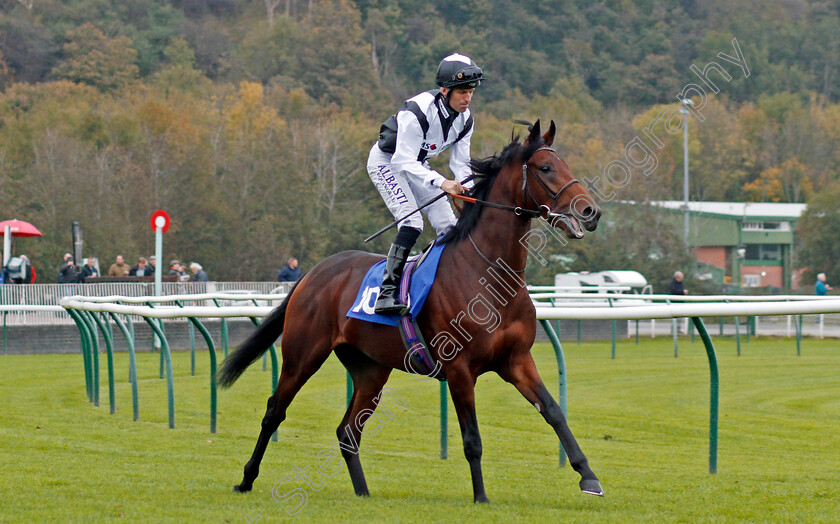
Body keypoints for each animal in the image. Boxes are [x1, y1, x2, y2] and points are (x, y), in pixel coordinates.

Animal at [218, 119, 604, 504]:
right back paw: (246, 479)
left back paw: (363, 492)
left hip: (370, 369)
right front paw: (481, 497)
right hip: (303, 355)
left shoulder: (517, 360)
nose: (591, 211)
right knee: (275, 411)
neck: (488, 273)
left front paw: (589, 477)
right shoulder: (460, 369)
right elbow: (472, 440)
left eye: (565, 163)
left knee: (348, 430)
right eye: (545, 167)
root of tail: (313, 273)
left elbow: (554, 412)